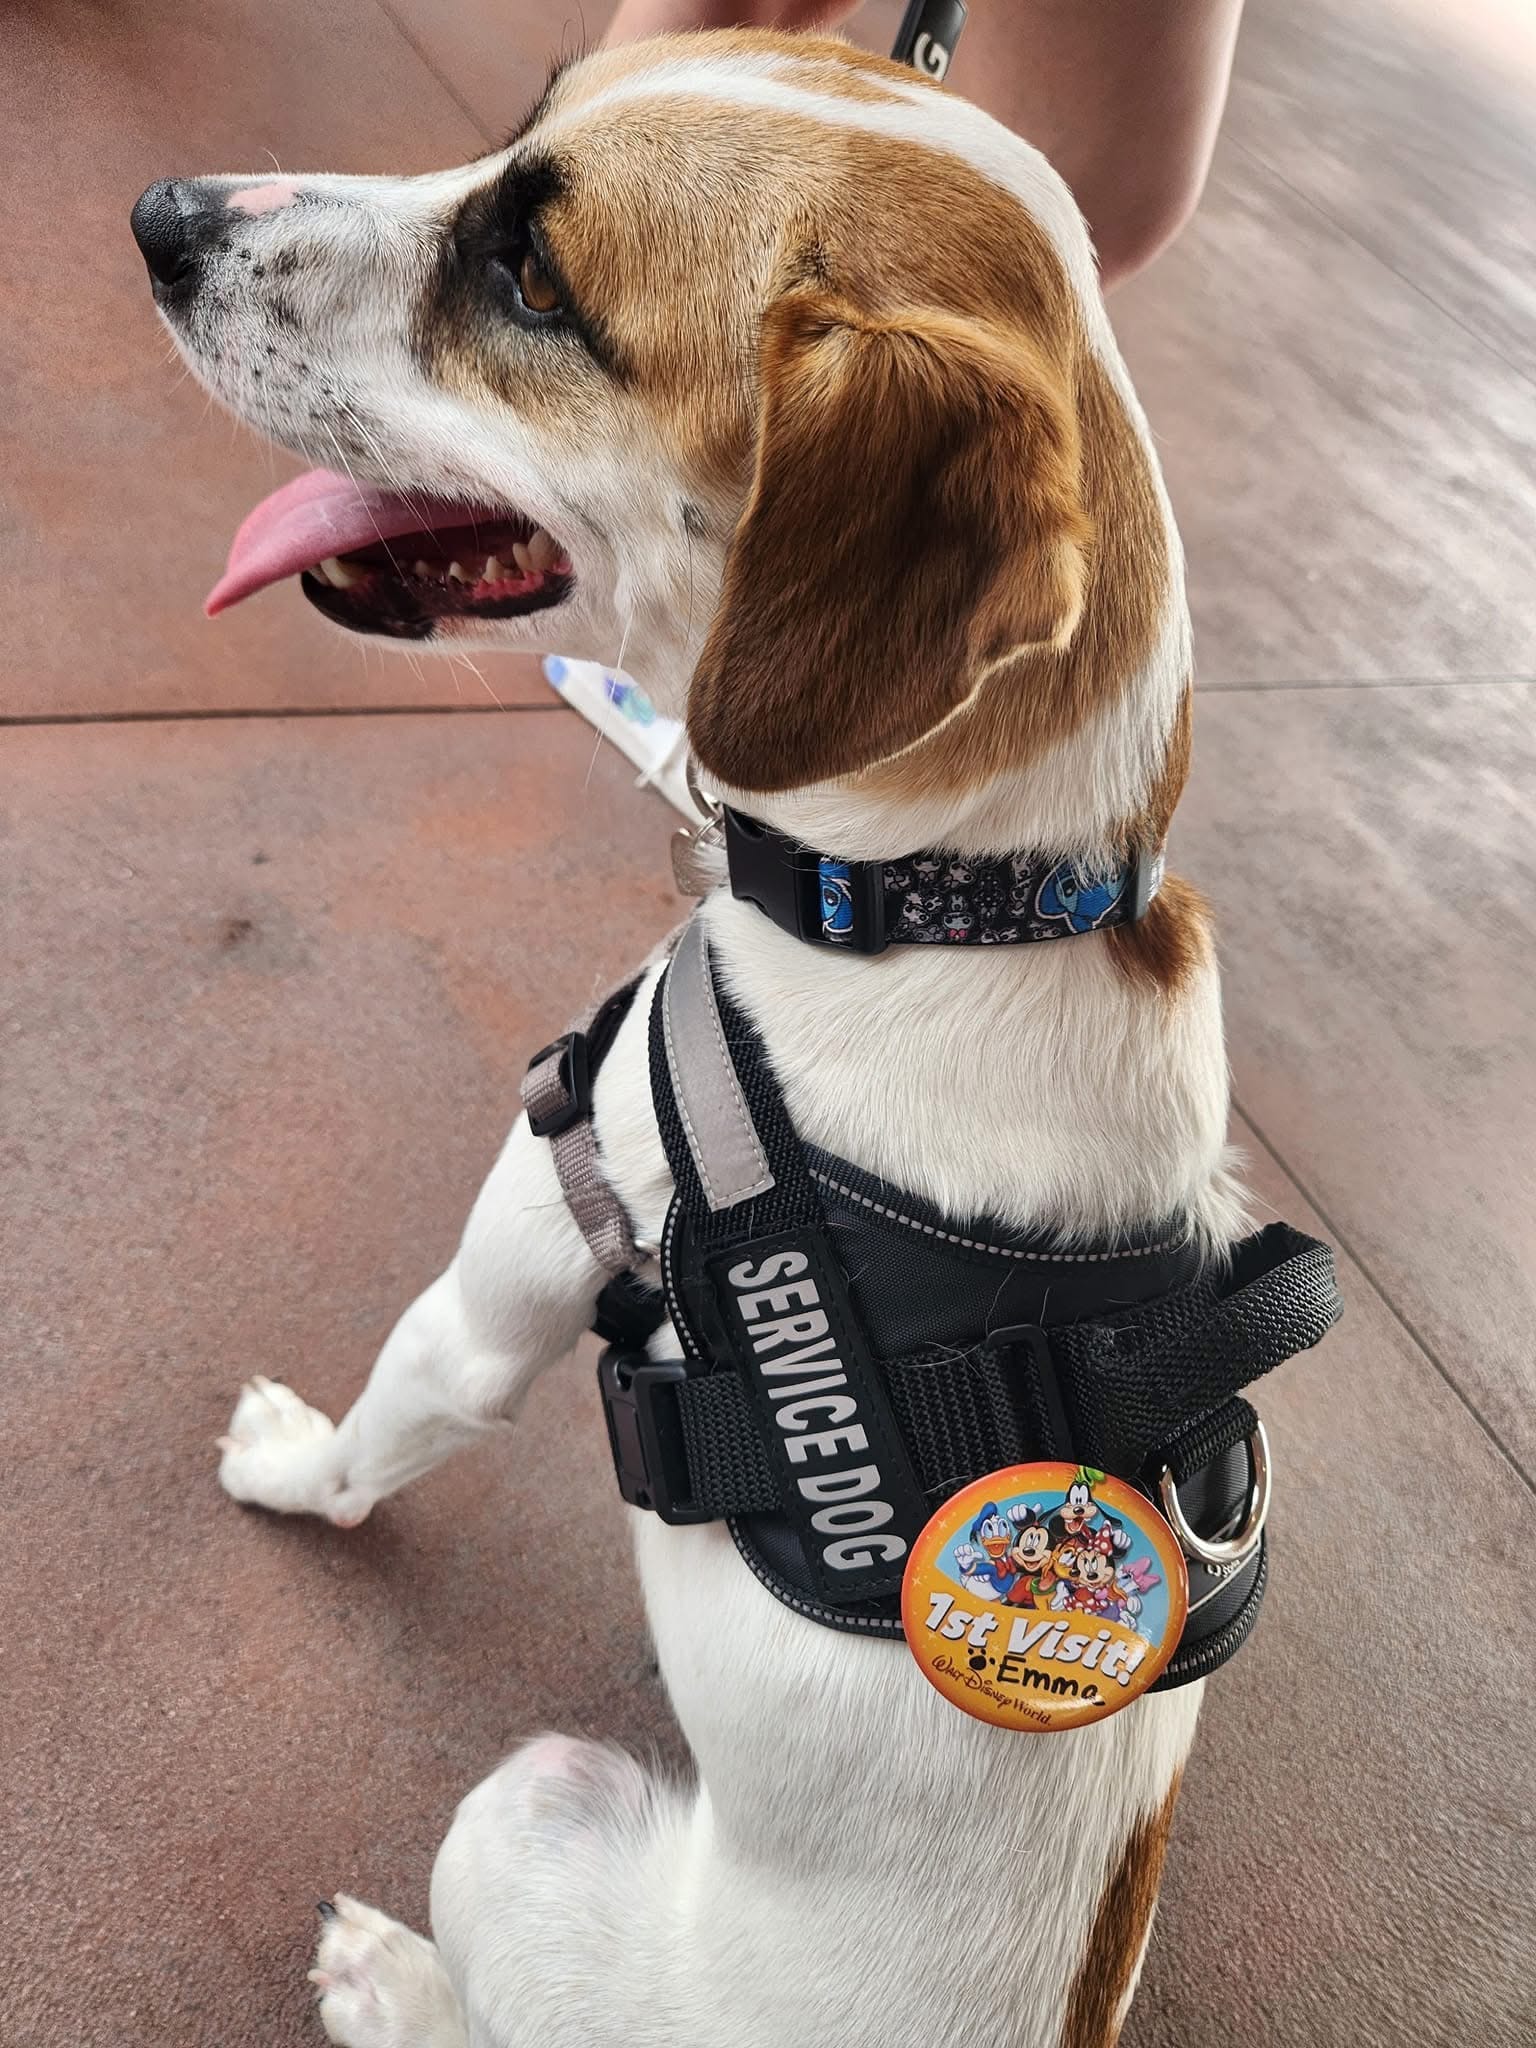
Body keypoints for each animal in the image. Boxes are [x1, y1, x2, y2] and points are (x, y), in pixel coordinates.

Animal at [135, 32, 1253, 2048]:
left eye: (534, 280)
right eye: (518, 122)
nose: (159, 218)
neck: (943, 905)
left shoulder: (513, 1271)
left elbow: (367, 1445)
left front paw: (282, 1465)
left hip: (530, 1800)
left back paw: (387, 1979)